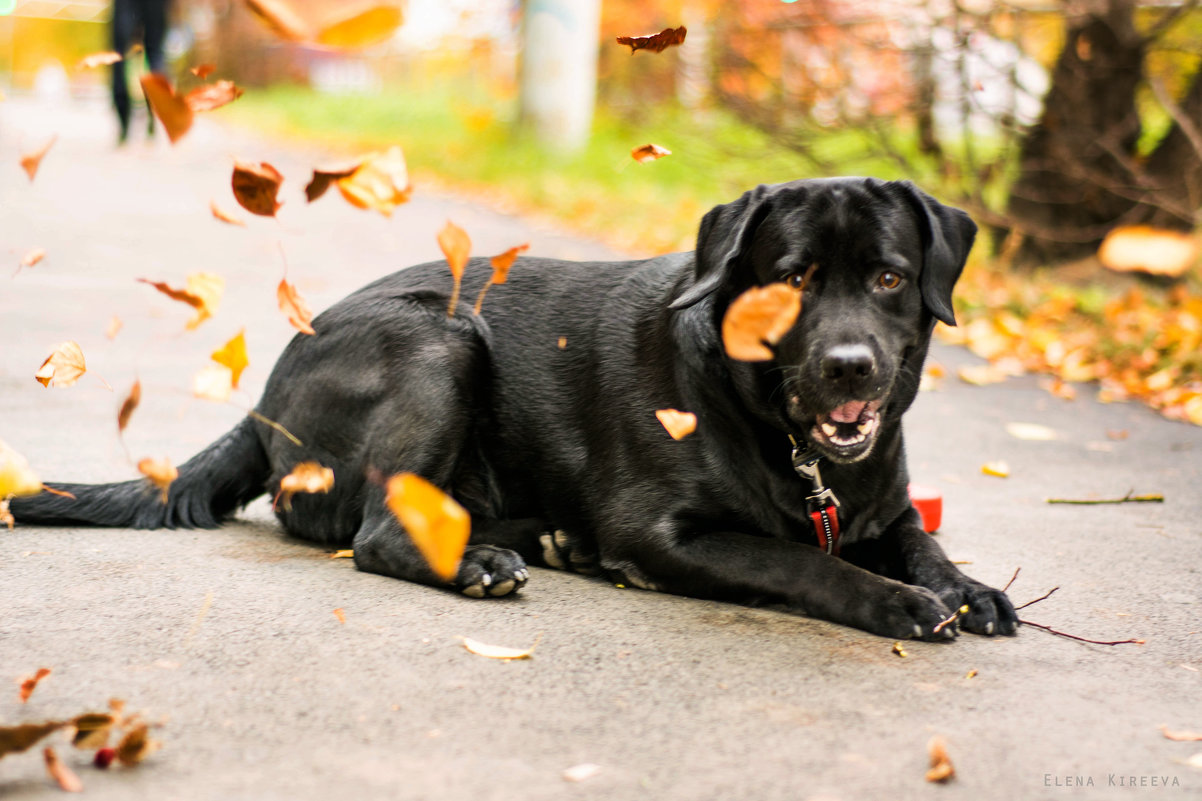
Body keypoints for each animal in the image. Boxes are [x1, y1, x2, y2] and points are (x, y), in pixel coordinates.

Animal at [14, 178, 1019, 639]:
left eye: (889, 278)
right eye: (791, 280)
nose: (852, 367)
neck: (787, 441)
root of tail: (261, 402)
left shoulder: (885, 507)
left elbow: (921, 540)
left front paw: (965, 586)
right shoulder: (667, 531)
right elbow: (801, 561)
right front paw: (899, 601)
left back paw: (546, 540)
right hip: (442, 342)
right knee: (379, 531)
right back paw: (482, 563)